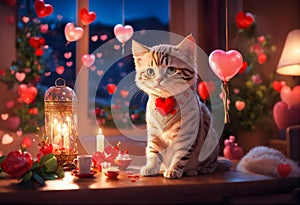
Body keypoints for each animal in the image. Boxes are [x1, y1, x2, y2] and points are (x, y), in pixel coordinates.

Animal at [131, 34, 227, 179]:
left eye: (171, 69)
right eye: (150, 72)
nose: (158, 79)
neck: (166, 100)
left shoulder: (187, 137)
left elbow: (180, 156)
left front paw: (173, 170)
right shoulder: (154, 134)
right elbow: (153, 152)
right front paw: (151, 167)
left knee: (212, 164)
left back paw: (197, 170)